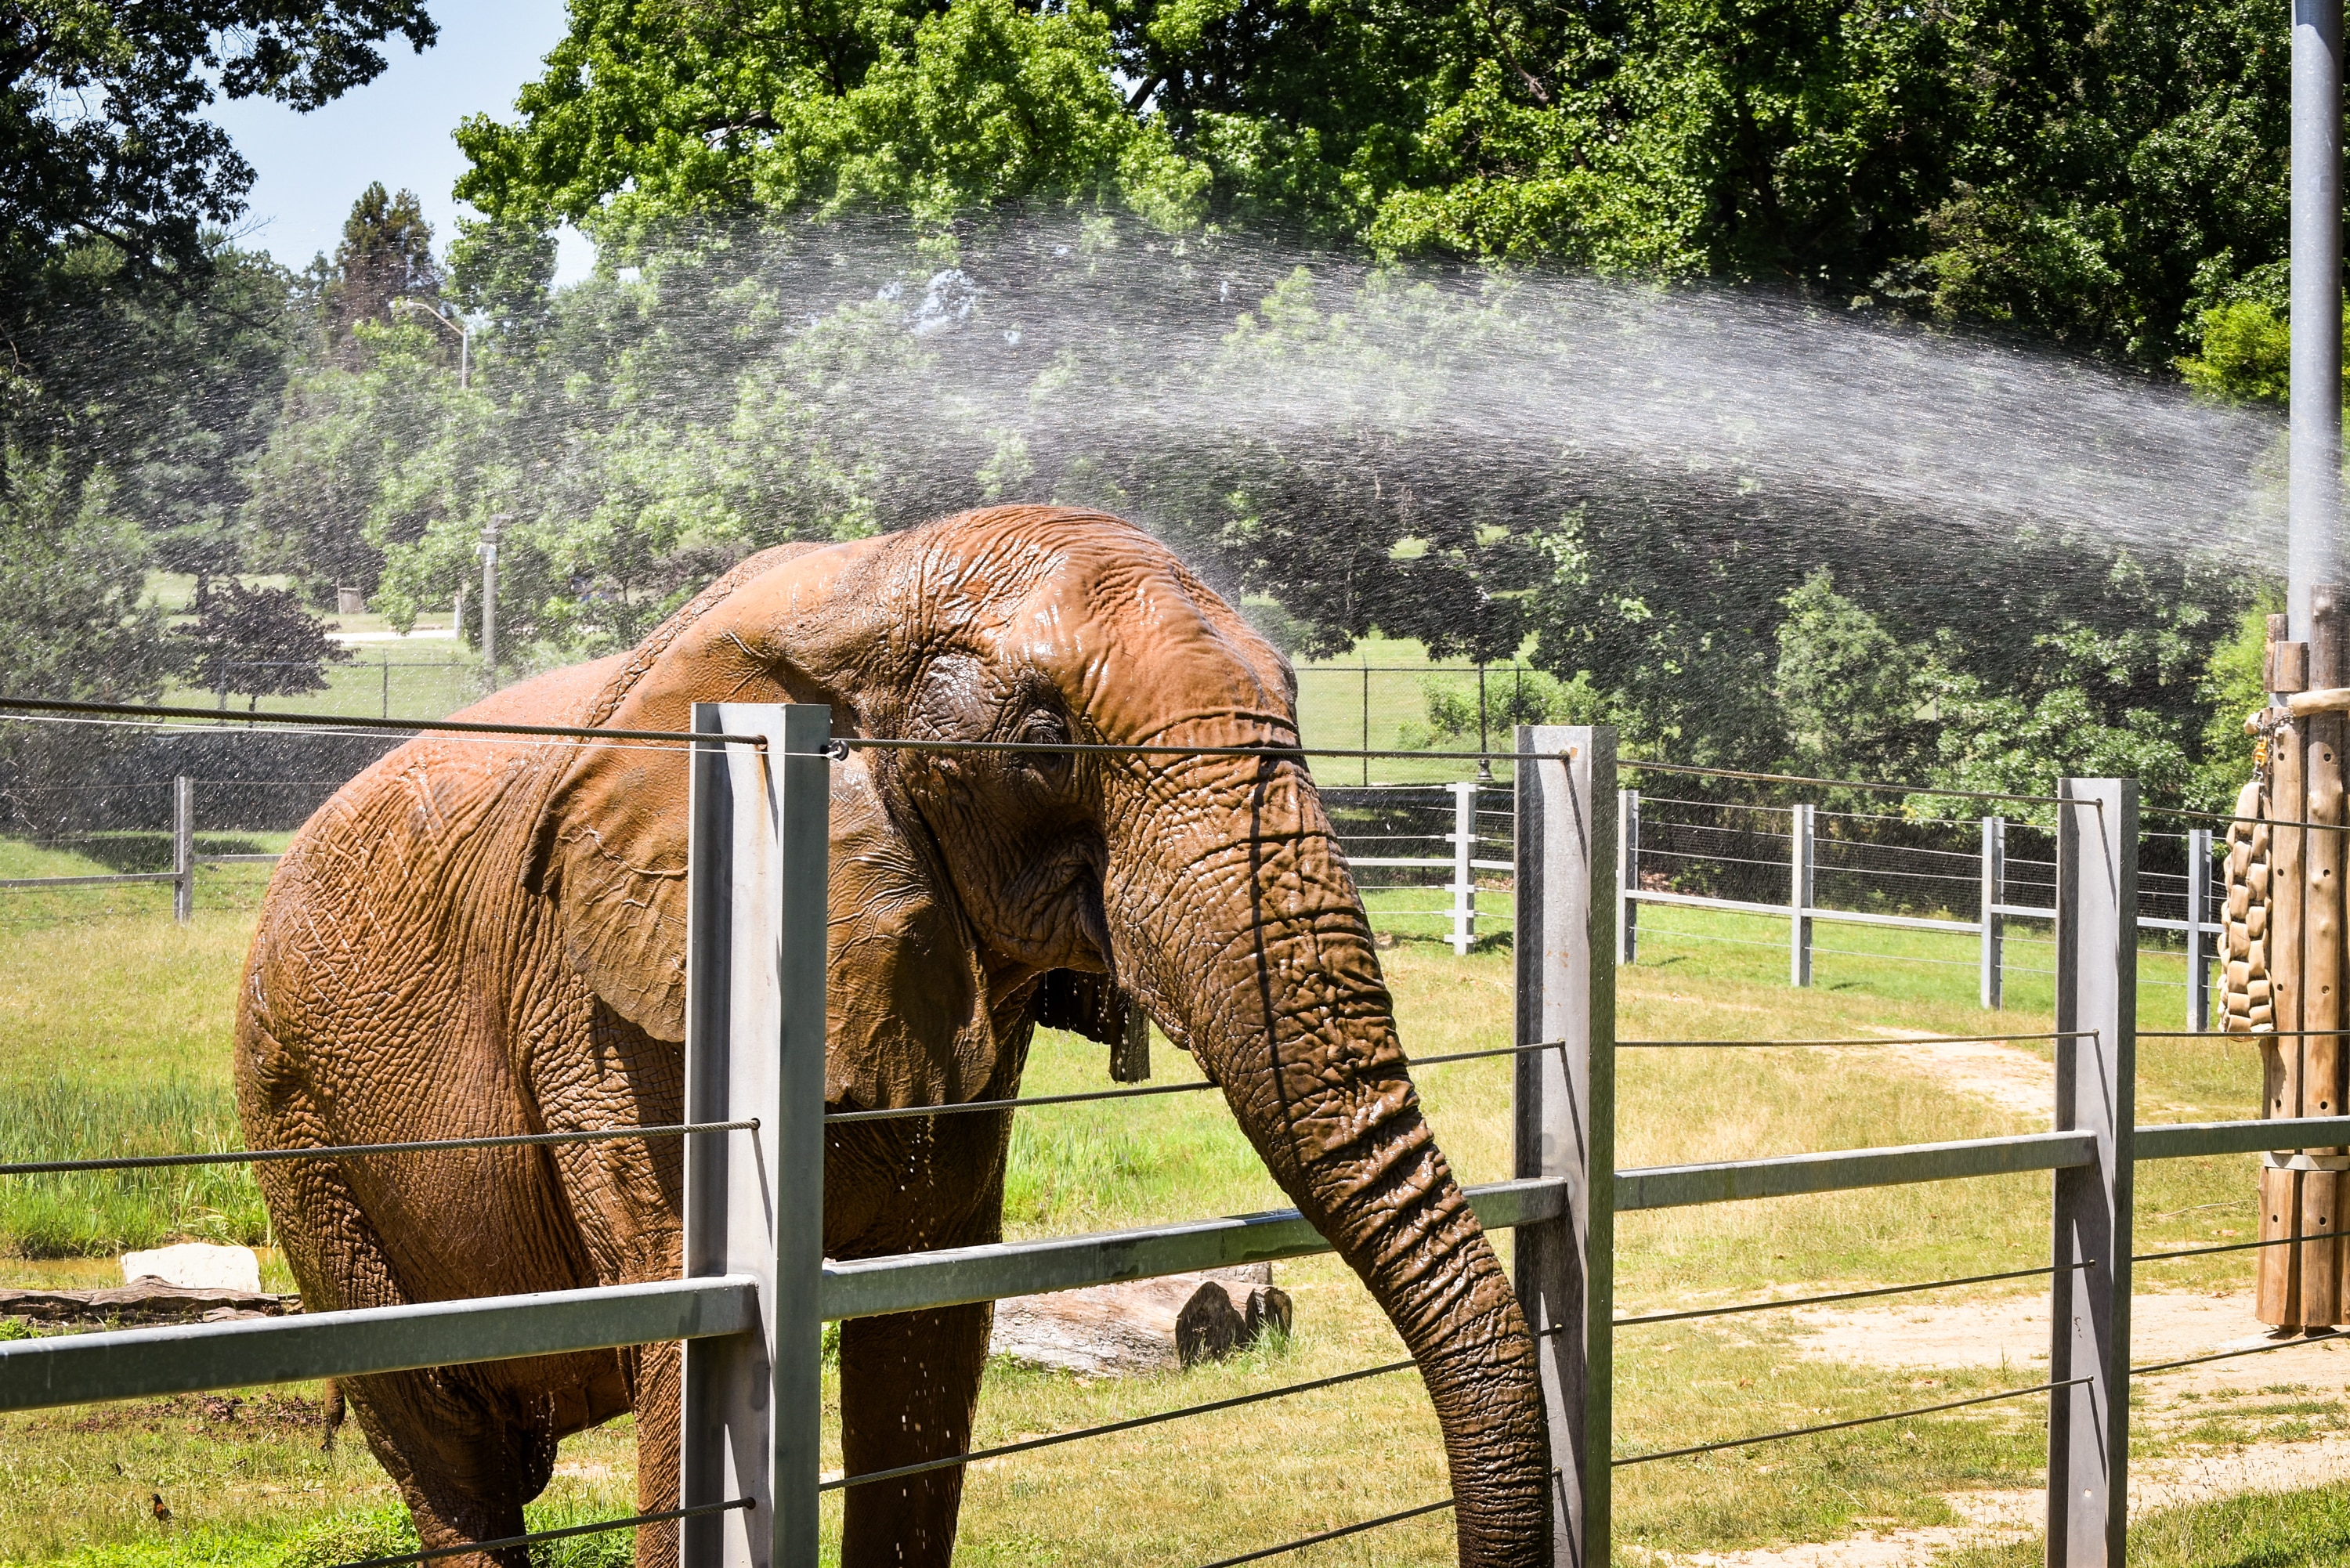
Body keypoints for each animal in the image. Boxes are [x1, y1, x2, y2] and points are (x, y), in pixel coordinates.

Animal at [233, 505, 1551, 1567]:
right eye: (1043, 749)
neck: (865, 586)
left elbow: (926, 1324)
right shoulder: (608, 1004)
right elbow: (687, 1341)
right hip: (303, 1132)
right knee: (446, 1448)